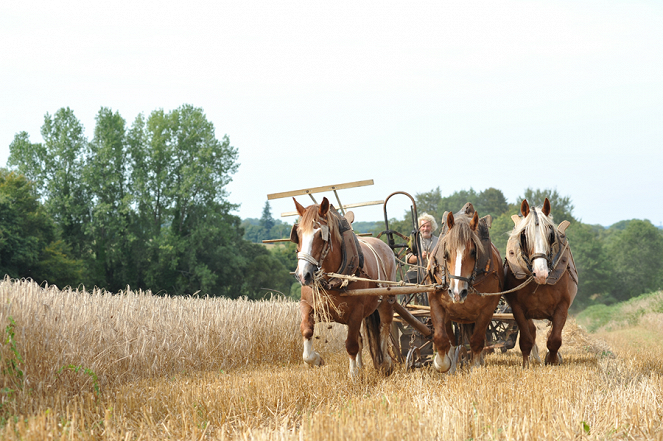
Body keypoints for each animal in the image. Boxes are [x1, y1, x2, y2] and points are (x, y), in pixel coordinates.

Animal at [290, 196, 394, 374]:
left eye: (320, 234)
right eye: (298, 233)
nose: (303, 275)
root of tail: (384, 245)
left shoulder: (356, 312)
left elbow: (351, 344)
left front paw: (353, 375)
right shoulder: (307, 305)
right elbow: (307, 331)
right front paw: (316, 359)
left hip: (386, 301)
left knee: (385, 327)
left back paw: (385, 362)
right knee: (362, 337)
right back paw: (361, 364)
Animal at [428, 205, 506, 372]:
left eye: (473, 252)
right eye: (446, 252)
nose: (458, 293)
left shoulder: (487, 309)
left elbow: (476, 340)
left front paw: (476, 365)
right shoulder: (436, 302)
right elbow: (441, 338)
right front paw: (441, 363)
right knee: (451, 339)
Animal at [506, 198, 580, 366]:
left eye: (551, 234)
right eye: (524, 235)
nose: (541, 273)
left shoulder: (562, 307)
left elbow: (554, 339)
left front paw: (552, 360)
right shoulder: (517, 309)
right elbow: (526, 339)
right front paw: (526, 364)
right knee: (532, 332)